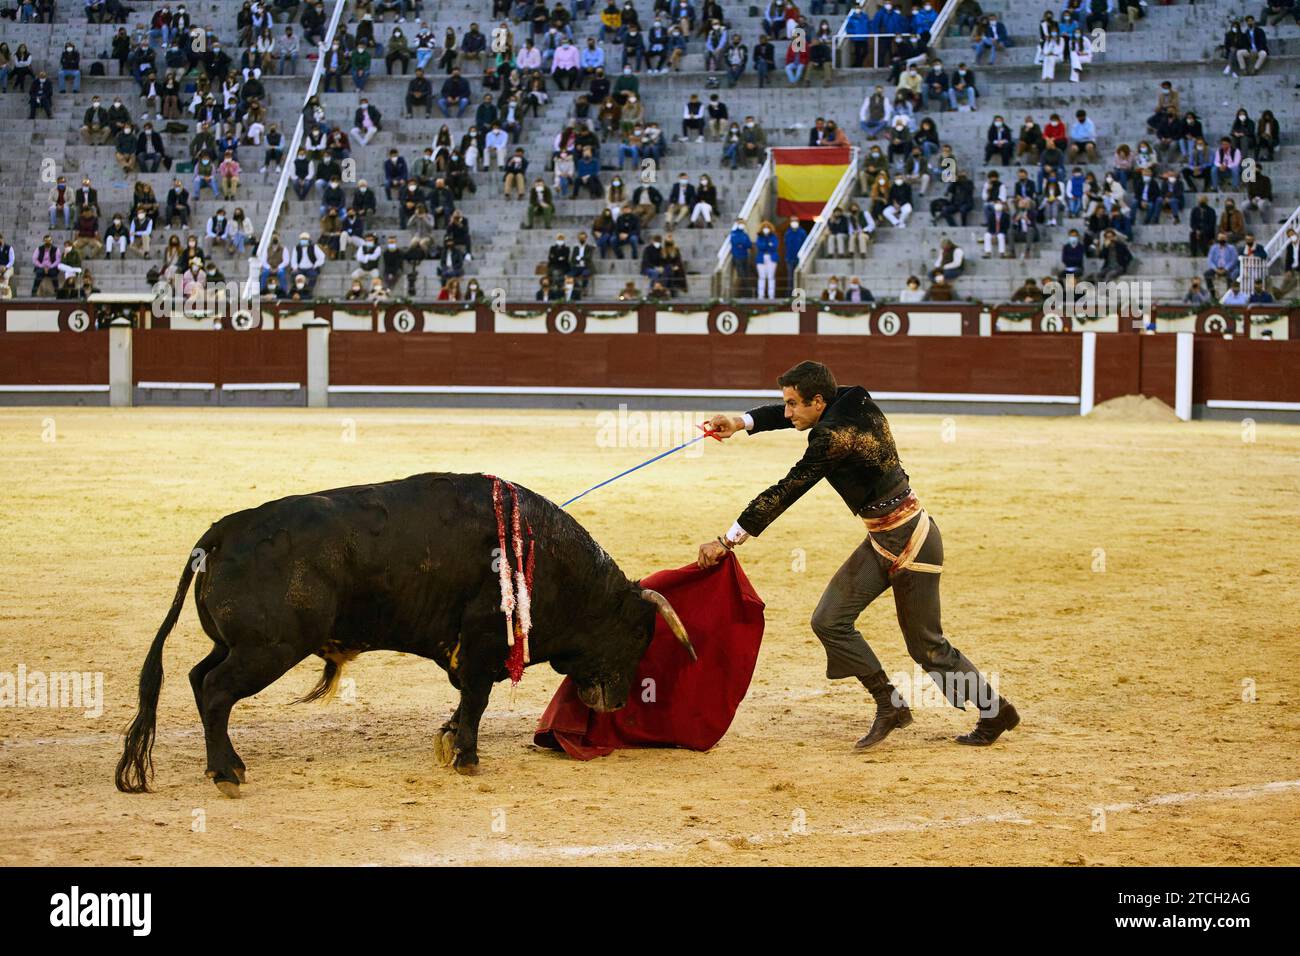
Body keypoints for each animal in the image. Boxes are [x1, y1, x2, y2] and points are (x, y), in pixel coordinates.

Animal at [116, 476, 696, 796]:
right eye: (637, 636)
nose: (615, 703)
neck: (549, 558)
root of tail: (224, 530)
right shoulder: (483, 646)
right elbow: (477, 702)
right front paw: (466, 759)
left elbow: (464, 703)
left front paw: (449, 740)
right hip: (268, 650)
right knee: (215, 690)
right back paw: (226, 775)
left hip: (236, 645)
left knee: (199, 678)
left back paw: (230, 763)